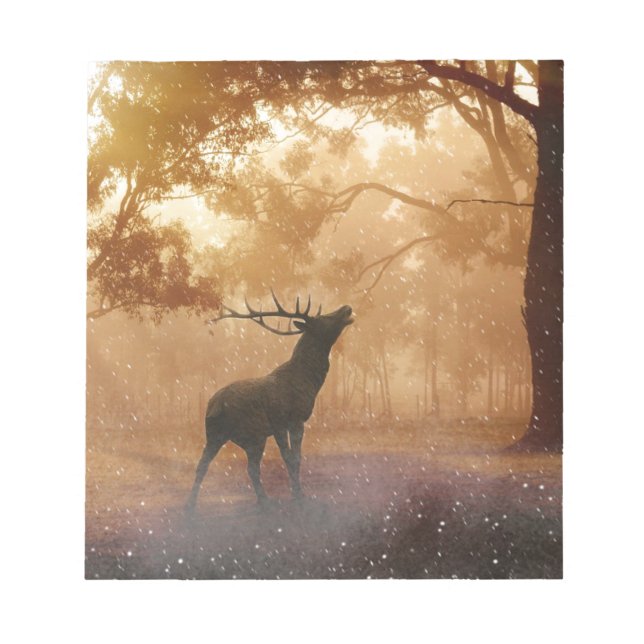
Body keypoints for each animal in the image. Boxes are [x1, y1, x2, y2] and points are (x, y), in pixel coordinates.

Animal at [186, 290, 354, 513]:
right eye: (323, 318)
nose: (347, 308)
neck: (308, 381)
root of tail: (214, 406)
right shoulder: (288, 419)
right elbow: (292, 458)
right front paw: (299, 496)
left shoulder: (286, 424)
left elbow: (296, 458)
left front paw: (297, 494)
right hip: (247, 433)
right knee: (242, 467)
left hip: (228, 435)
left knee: (226, 466)